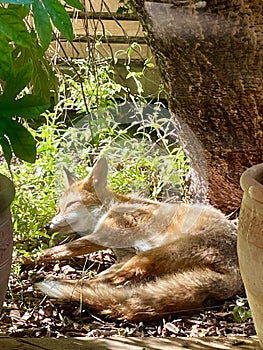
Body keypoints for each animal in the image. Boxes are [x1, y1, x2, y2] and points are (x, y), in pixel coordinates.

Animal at [36, 157, 243, 322]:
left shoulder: (105, 235)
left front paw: (30, 258)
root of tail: (236, 275)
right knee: (112, 281)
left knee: (107, 282)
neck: (111, 207)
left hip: (151, 255)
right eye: (58, 209)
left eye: (71, 204)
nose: (47, 226)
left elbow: (52, 252)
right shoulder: (124, 256)